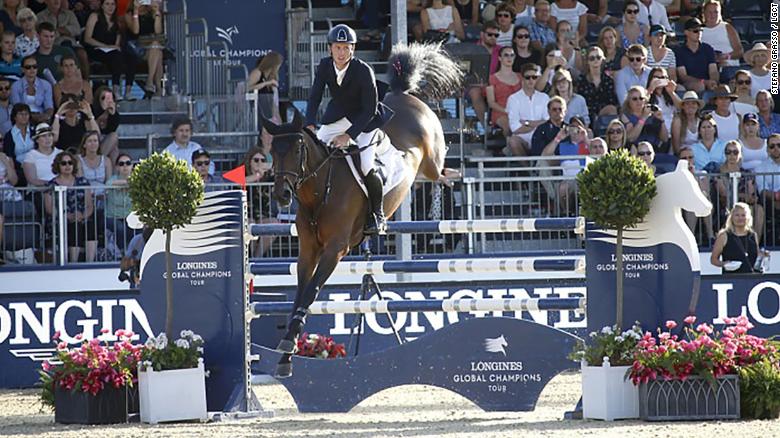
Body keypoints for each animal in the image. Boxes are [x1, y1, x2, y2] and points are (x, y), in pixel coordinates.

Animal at [258, 42, 464, 376]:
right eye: (272, 151)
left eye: (298, 148)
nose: (281, 194)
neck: (320, 192)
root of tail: (400, 93)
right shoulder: (308, 249)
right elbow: (300, 293)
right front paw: (286, 355)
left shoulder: (335, 249)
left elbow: (312, 292)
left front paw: (288, 346)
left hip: (430, 158)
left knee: (438, 169)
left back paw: (452, 176)